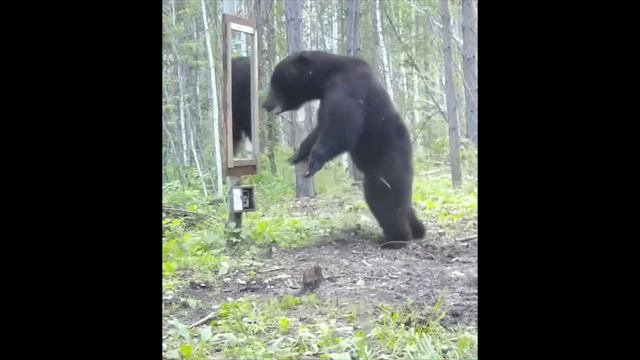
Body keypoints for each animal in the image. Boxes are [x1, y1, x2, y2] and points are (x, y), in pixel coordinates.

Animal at [262, 50, 422, 248]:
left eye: (275, 82)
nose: (265, 104)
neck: (328, 74)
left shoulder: (349, 86)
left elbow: (342, 126)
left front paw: (314, 162)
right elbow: (320, 127)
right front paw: (298, 154)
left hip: (387, 161)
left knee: (384, 198)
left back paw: (396, 239)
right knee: (402, 202)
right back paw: (417, 229)